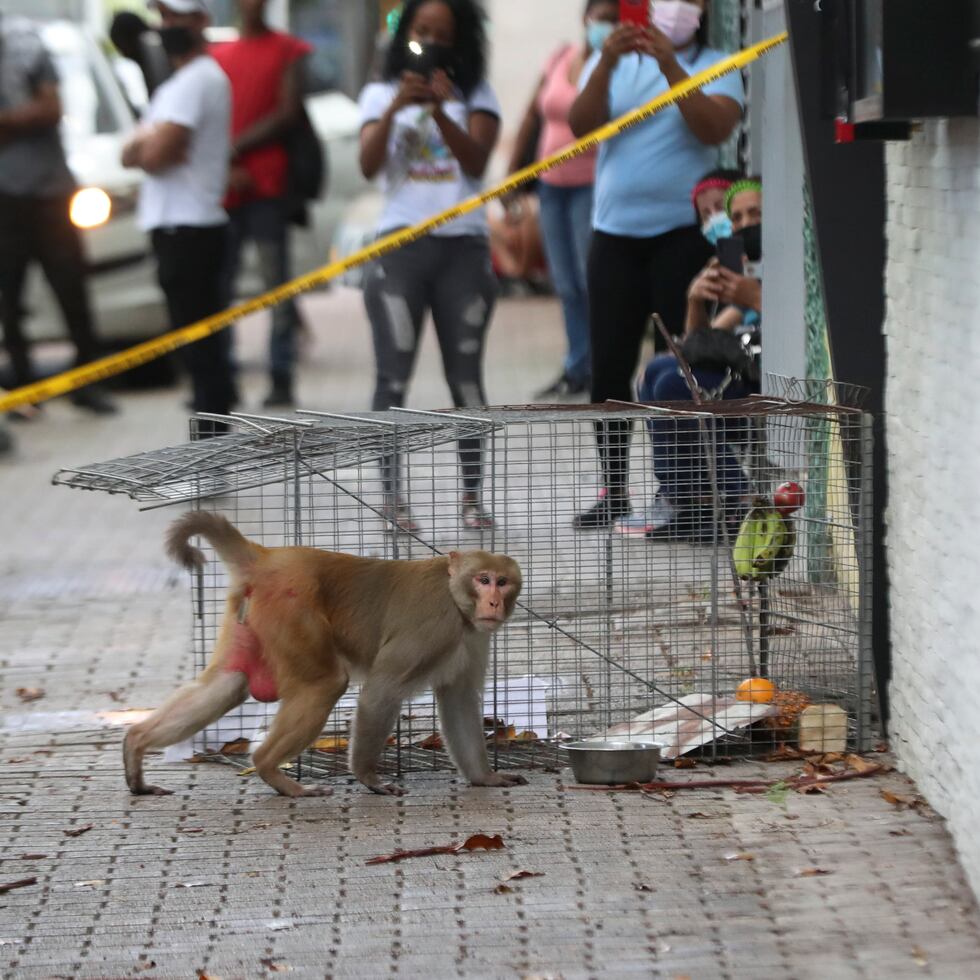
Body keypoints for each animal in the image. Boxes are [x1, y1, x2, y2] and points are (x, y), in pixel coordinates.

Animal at [124, 510, 528, 800]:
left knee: (228, 684)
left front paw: (485, 777)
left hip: (252, 616)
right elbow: (382, 690)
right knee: (326, 684)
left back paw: (136, 744)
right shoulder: (433, 627)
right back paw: (273, 771)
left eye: (502, 582)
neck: (456, 601)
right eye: (483, 580)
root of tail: (268, 558)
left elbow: (458, 699)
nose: (493, 602)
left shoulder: (473, 637)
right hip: (291, 609)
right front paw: (369, 778)